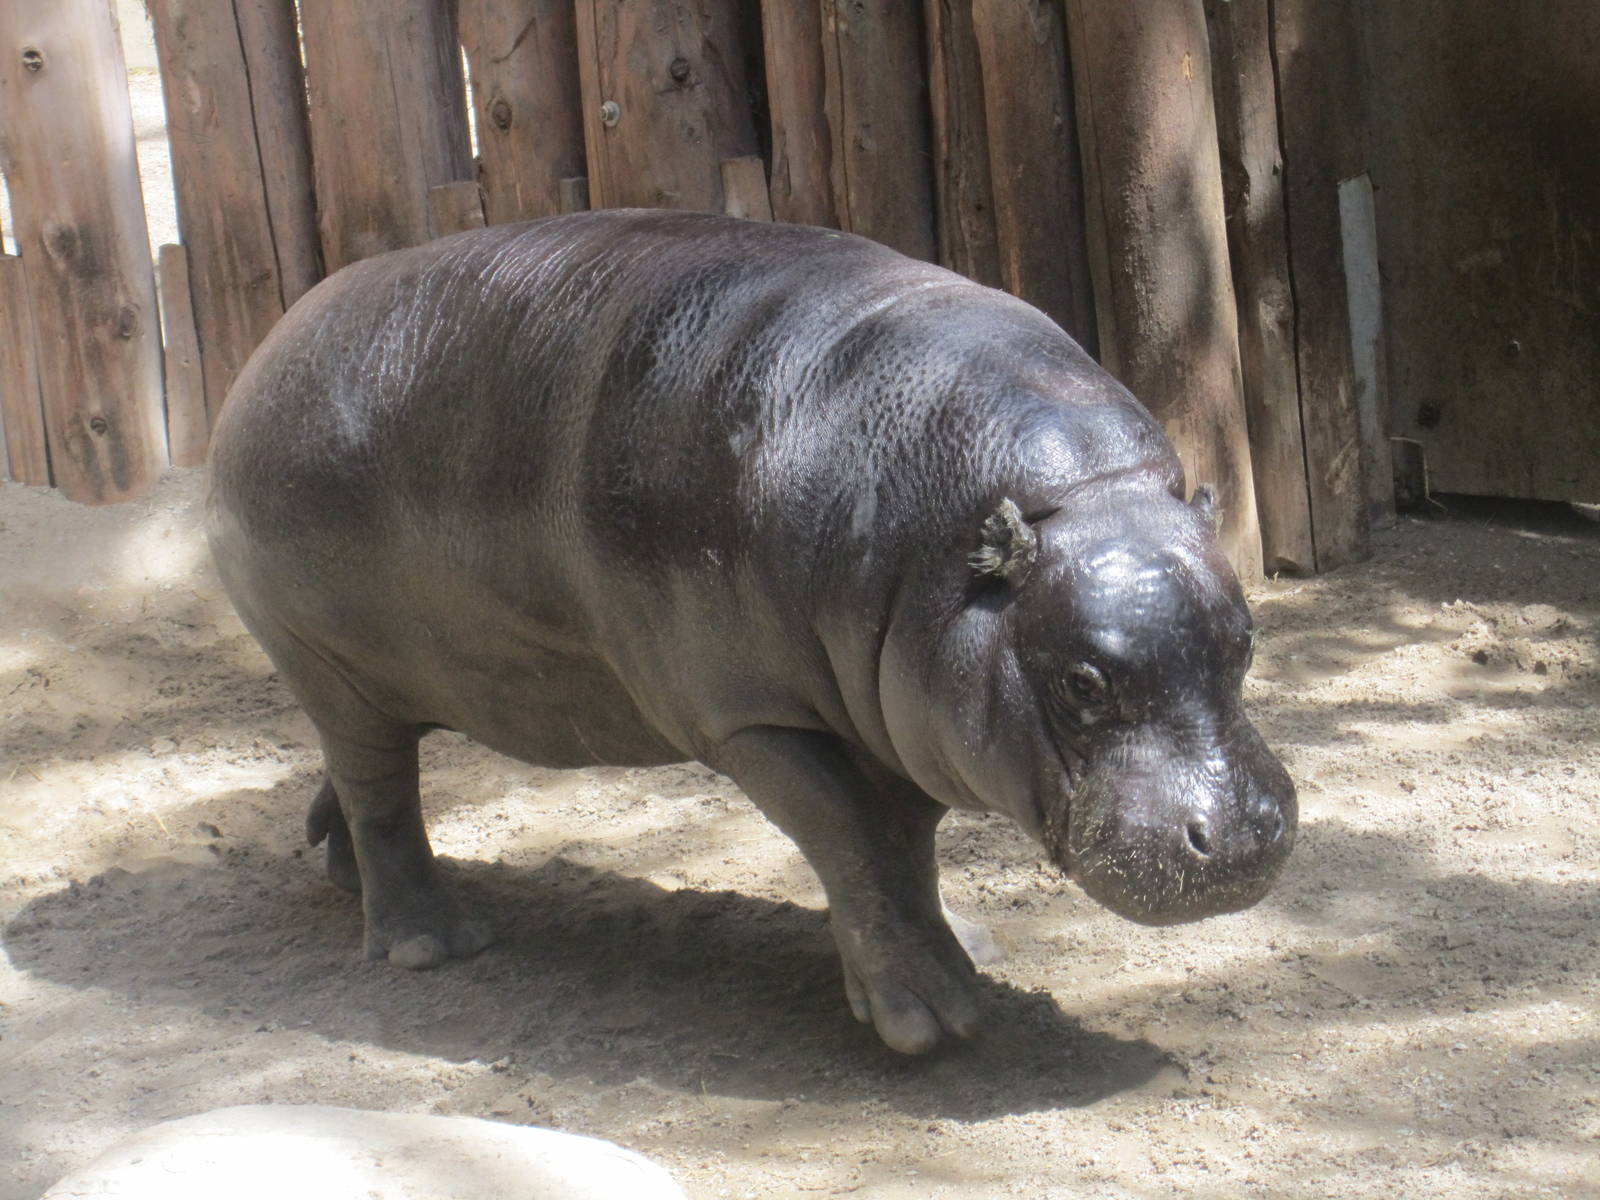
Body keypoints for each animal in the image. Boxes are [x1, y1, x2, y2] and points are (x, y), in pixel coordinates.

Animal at [207, 210, 1295, 1054]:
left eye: (1245, 644)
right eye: (1080, 682)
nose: (1244, 834)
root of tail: (261, 353)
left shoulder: (901, 711)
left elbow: (902, 849)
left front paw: (950, 967)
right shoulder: (750, 717)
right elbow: (850, 834)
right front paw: (929, 1021)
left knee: (363, 778)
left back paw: (335, 866)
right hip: (326, 663)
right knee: (381, 787)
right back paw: (431, 944)